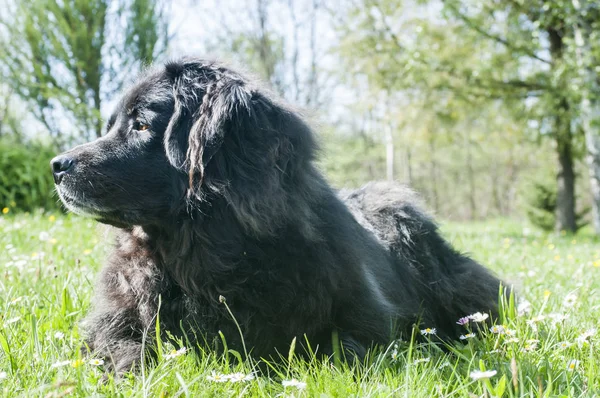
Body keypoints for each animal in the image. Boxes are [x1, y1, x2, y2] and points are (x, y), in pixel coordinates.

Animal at [50, 57, 502, 374]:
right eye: (112, 125)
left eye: (141, 125)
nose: (57, 165)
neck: (198, 252)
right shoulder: (117, 321)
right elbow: (124, 347)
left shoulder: (366, 320)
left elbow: (342, 350)